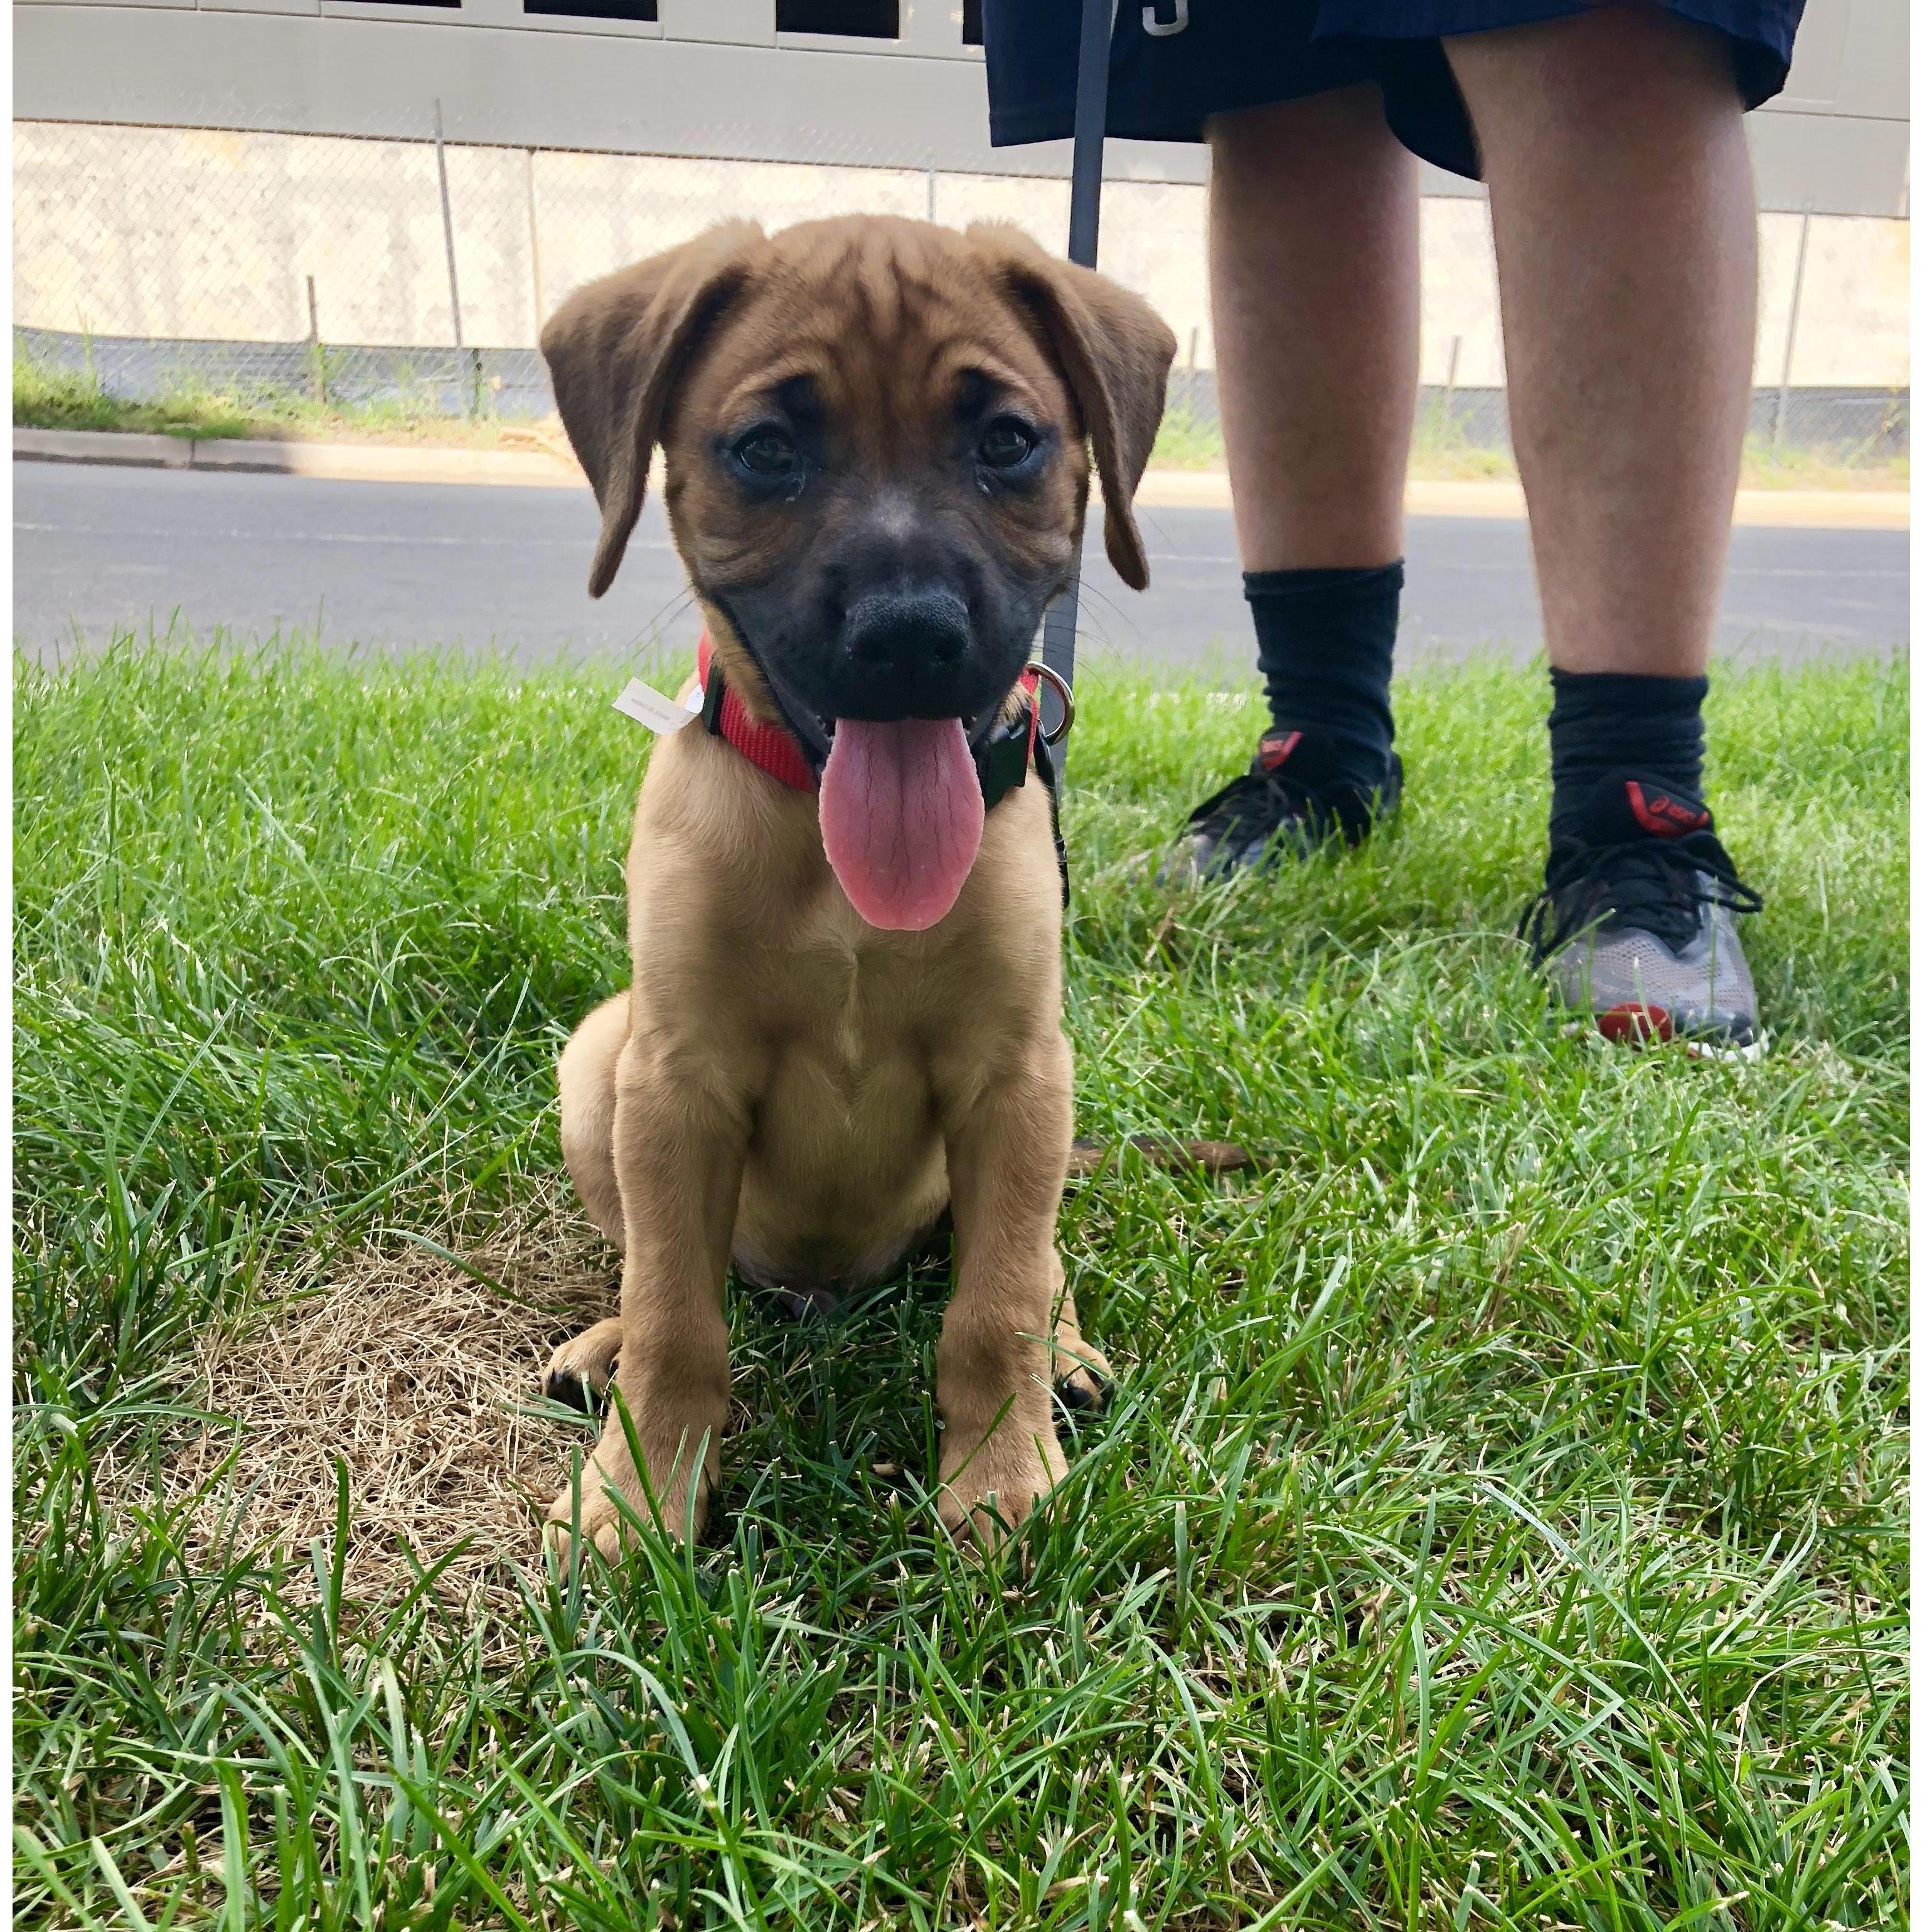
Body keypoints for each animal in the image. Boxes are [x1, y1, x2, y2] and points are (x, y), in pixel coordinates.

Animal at [536, 219, 1166, 1561]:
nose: (909, 633)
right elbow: (675, 1314)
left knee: (1033, 1258)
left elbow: (993, 1302)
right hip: (597, 1056)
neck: (840, 882)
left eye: (1005, 441)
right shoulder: (672, 1082)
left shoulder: (1015, 1072)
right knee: (650, 1263)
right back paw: (599, 1343)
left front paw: (1000, 1477)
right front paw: (634, 1491)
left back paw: (1067, 1350)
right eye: (768, 450)